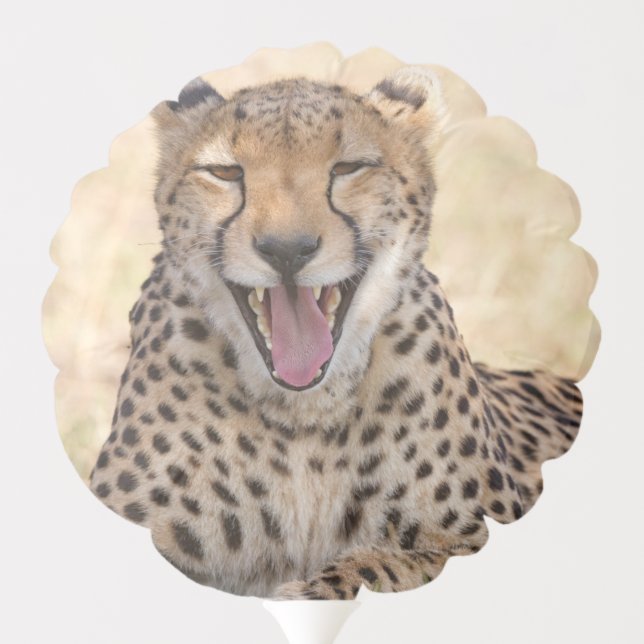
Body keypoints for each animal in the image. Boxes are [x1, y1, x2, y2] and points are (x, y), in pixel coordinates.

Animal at [89, 67, 583, 600]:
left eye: (349, 167)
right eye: (224, 173)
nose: (287, 249)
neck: (303, 417)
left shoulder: (463, 539)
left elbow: (381, 566)